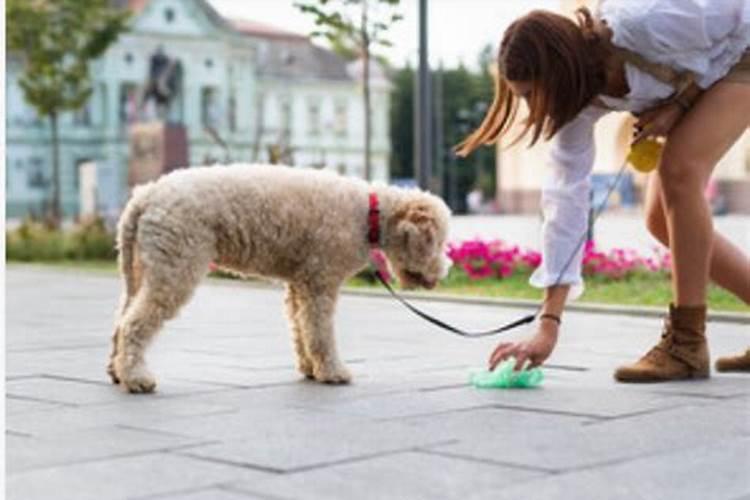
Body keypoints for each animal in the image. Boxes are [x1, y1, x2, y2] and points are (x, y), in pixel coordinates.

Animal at [108, 166, 450, 392]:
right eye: (439, 242)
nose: (444, 272)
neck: (369, 215)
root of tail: (145, 195)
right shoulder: (320, 282)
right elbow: (320, 332)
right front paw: (333, 372)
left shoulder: (300, 285)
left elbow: (301, 331)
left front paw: (310, 369)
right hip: (176, 267)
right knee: (135, 324)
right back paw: (137, 378)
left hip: (142, 269)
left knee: (121, 321)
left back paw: (117, 371)